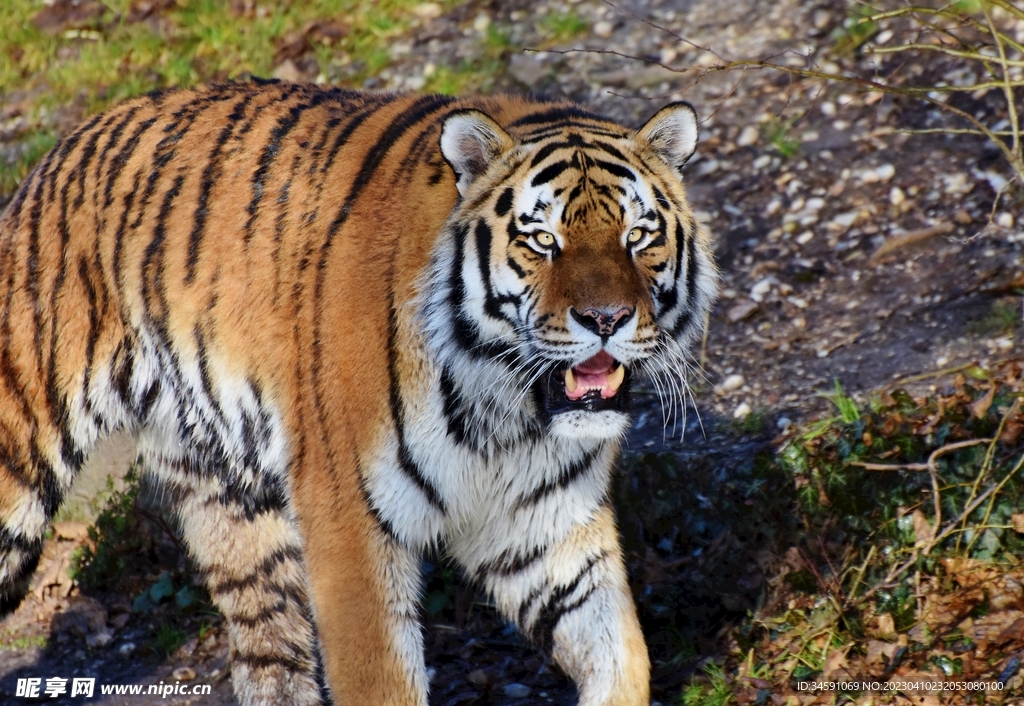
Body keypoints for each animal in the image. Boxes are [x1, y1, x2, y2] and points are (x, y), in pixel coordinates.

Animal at [0, 79, 717, 705]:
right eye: (543, 240)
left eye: (639, 236)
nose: (606, 319)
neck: (505, 405)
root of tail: (58, 152)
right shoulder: (350, 524)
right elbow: (381, 680)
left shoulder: (545, 529)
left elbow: (623, 655)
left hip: (234, 509)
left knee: (268, 659)